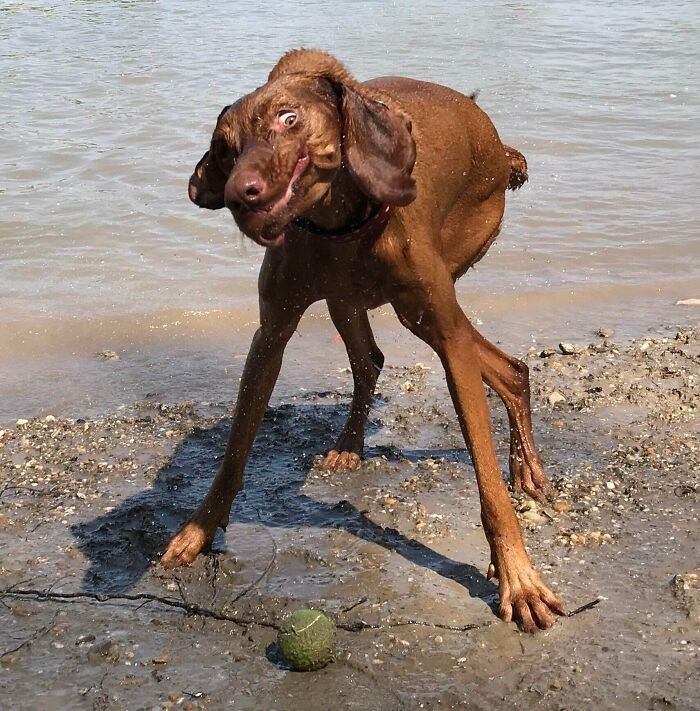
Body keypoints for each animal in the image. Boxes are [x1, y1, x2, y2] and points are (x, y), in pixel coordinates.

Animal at [161, 50, 568, 636]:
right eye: (224, 147)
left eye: (289, 118)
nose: (239, 193)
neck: (339, 224)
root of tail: (498, 143)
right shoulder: (271, 335)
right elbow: (234, 453)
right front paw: (197, 531)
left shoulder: (445, 335)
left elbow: (488, 485)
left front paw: (518, 577)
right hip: (353, 302)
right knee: (374, 360)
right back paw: (353, 445)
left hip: (432, 295)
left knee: (501, 365)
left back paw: (525, 469)